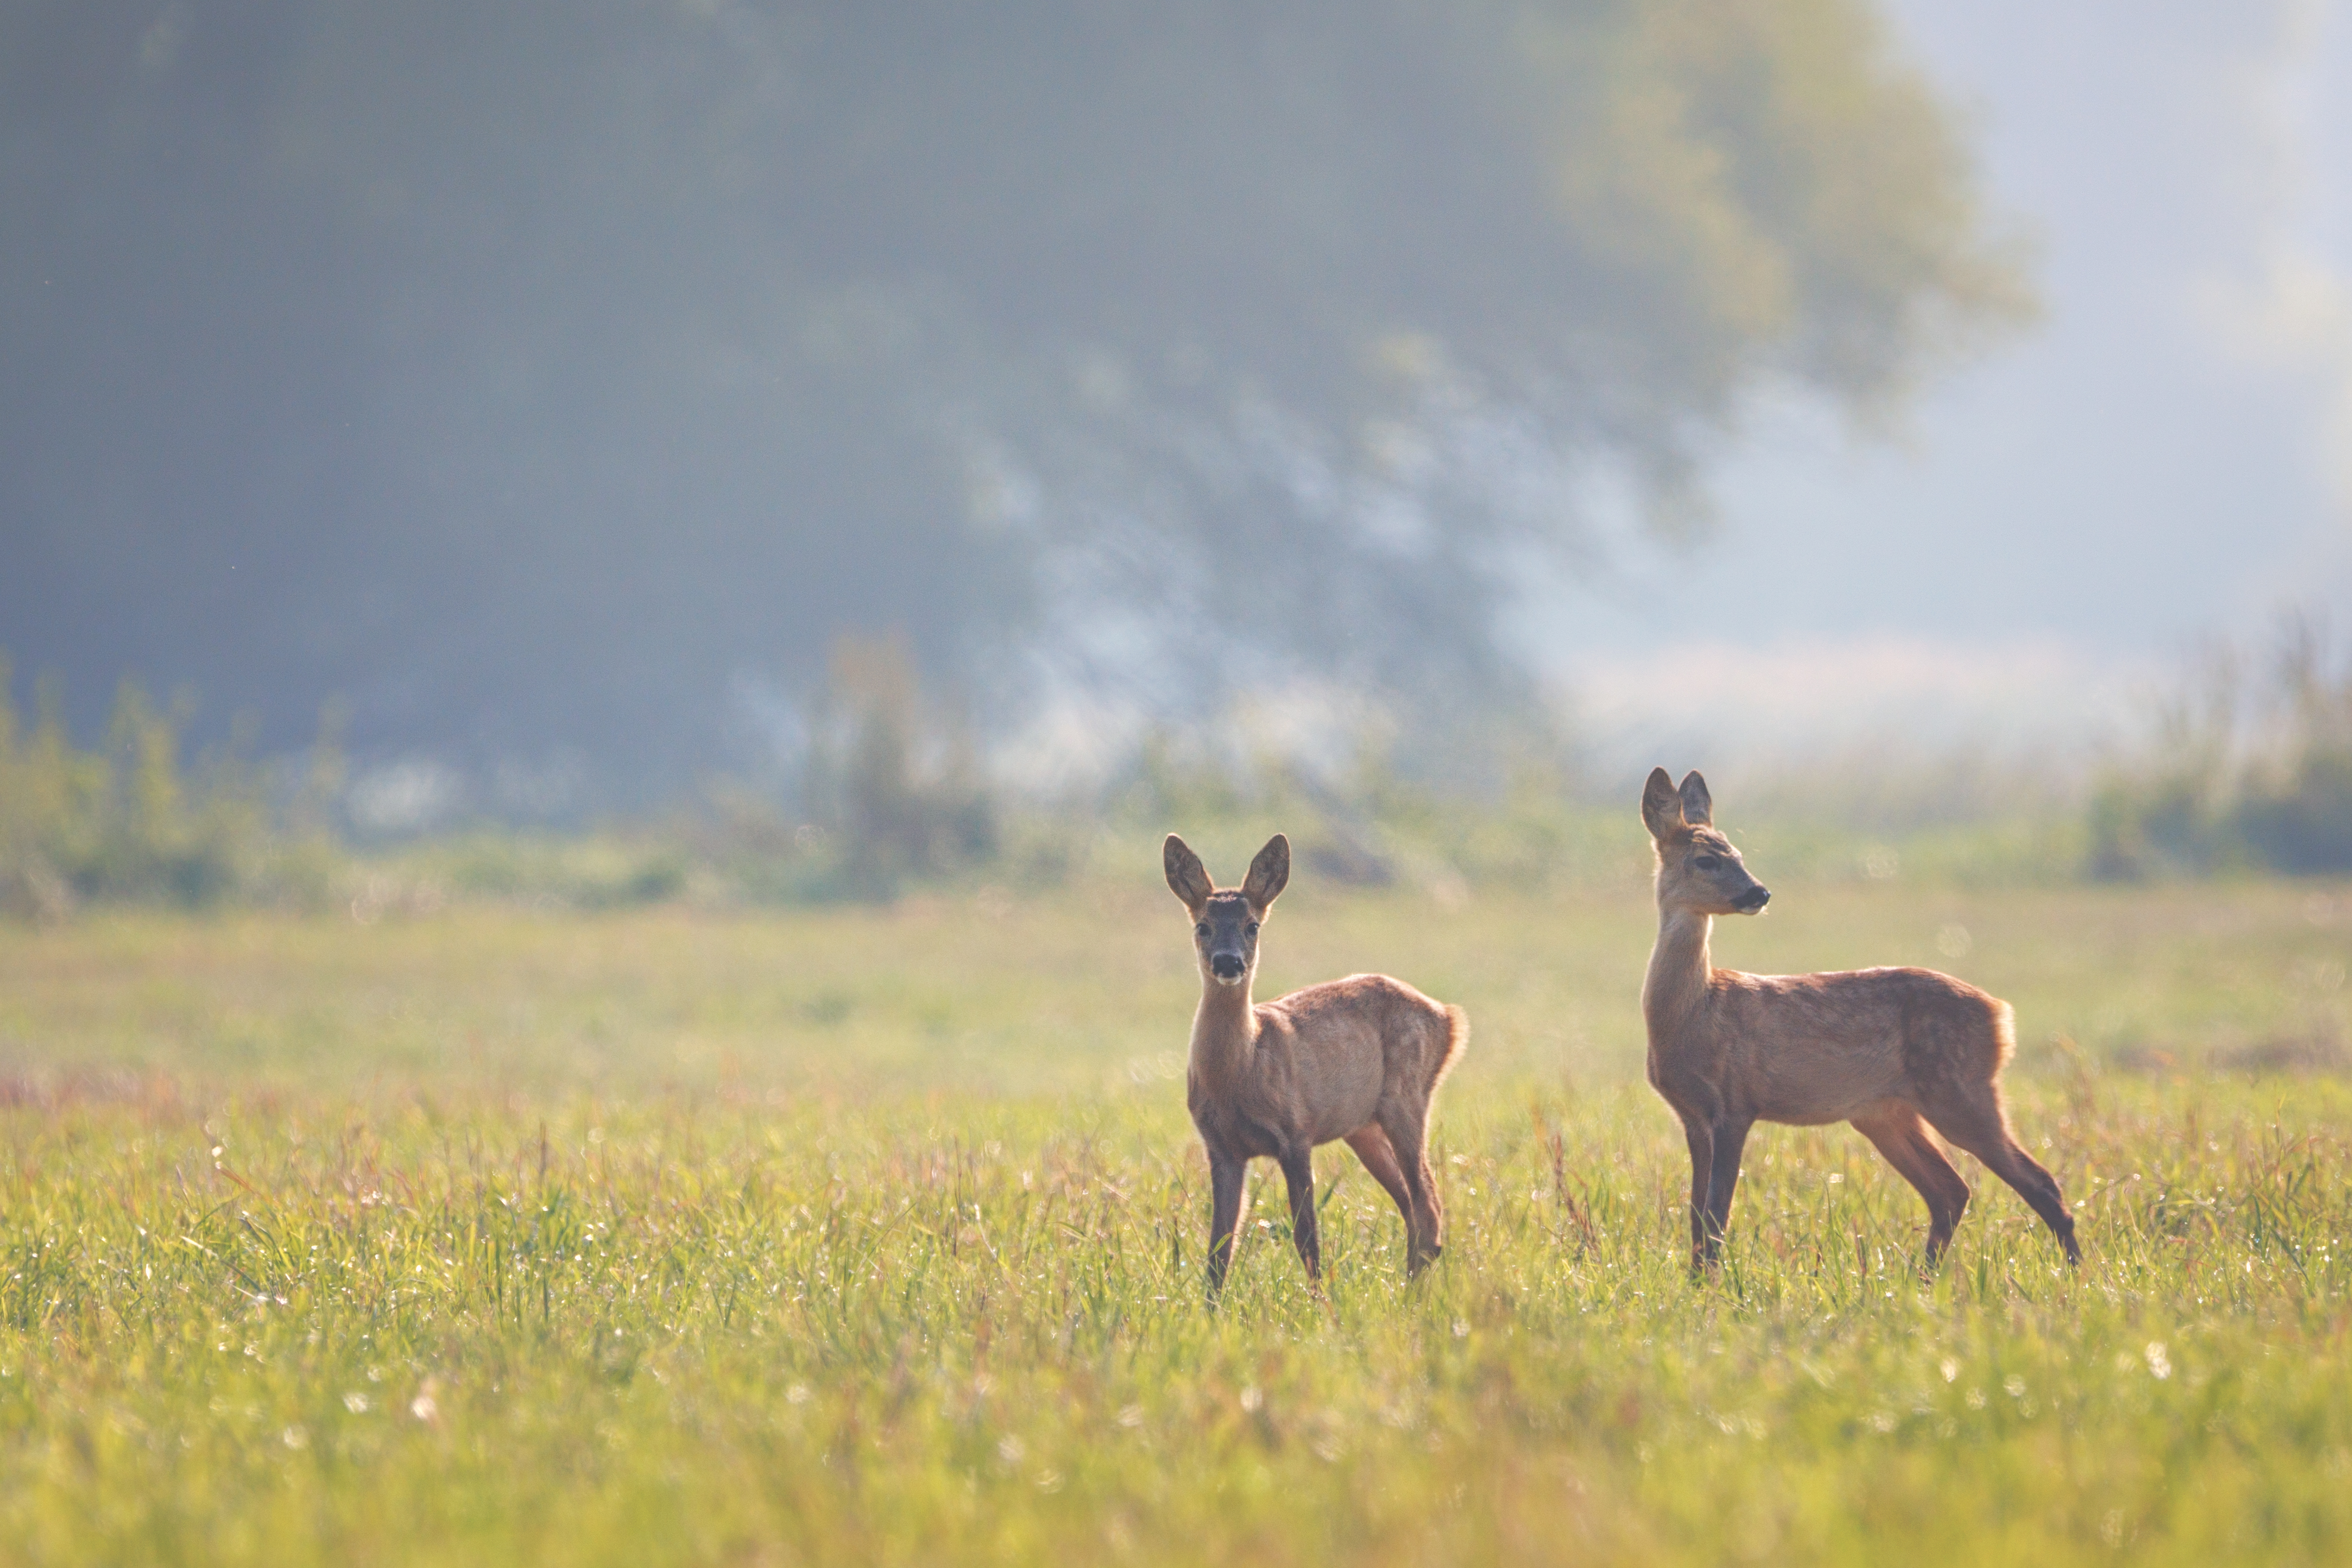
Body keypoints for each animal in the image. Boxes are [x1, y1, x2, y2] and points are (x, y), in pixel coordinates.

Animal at [1162, 832, 1458, 1297]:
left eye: (1252, 925)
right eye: (1202, 926)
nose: (1228, 962)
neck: (1243, 1069)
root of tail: (1448, 1017)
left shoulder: (1295, 1132)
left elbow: (1307, 1237)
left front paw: (1321, 1304)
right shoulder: (1221, 1147)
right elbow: (1219, 1248)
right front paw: (1210, 1308)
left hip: (1407, 1097)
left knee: (1427, 1202)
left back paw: (1411, 1296)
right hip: (1362, 1127)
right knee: (1412, 1203)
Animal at [1637, 771, 2079, 1279]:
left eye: (1739, 855)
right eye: (1706, 859)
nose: (1759, 893)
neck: (1695, 1012)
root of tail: (2001, 1014)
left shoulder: (1735, 1103)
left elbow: (1715, 1215)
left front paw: (1712, 1286)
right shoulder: (1692, 1115)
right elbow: (1695, 1214)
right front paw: (1696, 1283)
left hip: (1959, 1090)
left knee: (2039, 1181)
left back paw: (2076, 1273)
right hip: (1884, 1113)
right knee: (1950, 1190)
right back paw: (1923, 1278)